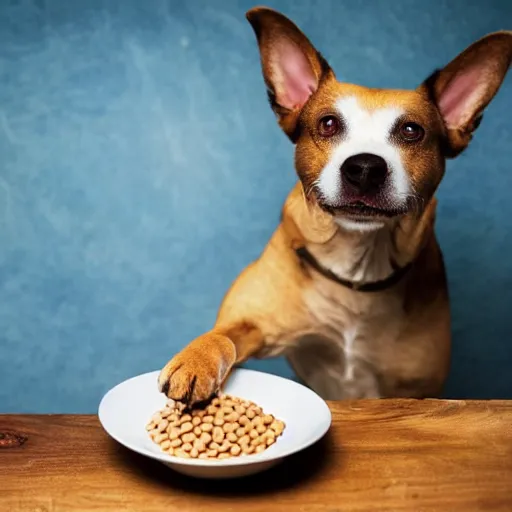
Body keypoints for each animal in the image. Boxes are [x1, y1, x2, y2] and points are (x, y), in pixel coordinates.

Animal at [159, 7, 512, 404]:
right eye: (328, 123)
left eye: (412, 131)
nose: (365, 168)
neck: (355, 267)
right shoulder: (248, 321)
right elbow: (222, 337)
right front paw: (197, 359)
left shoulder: (418, 388)